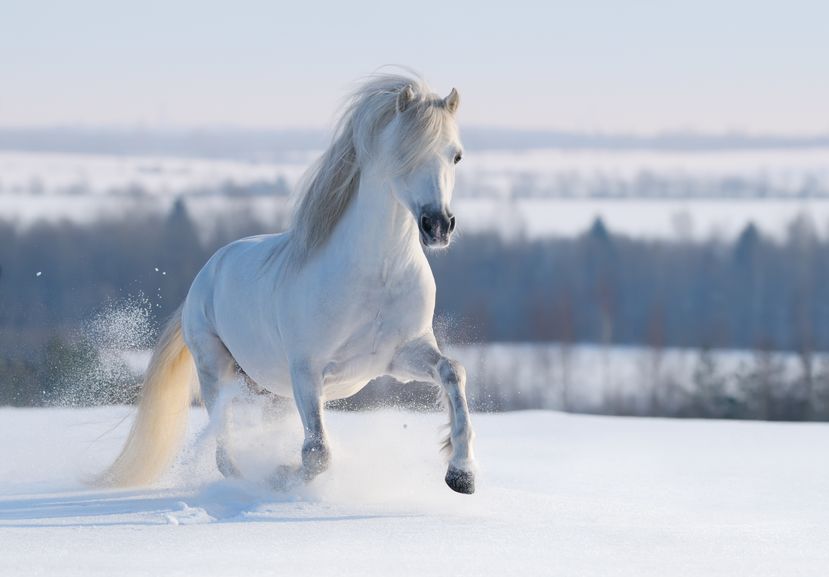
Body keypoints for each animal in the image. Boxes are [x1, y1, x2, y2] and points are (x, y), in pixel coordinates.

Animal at [101, 73, 477, 494]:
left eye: (456, 156)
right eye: (403, 153)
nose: (438, 225)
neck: (376, 276)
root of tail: (207, 273)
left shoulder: (400, 356)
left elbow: (453, 371)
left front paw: (461, 474)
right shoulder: (306, 371)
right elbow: (317, 453)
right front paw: (282, 477)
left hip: (271, 390)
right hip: (216, 369)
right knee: (223, 449)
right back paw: (247, 481)